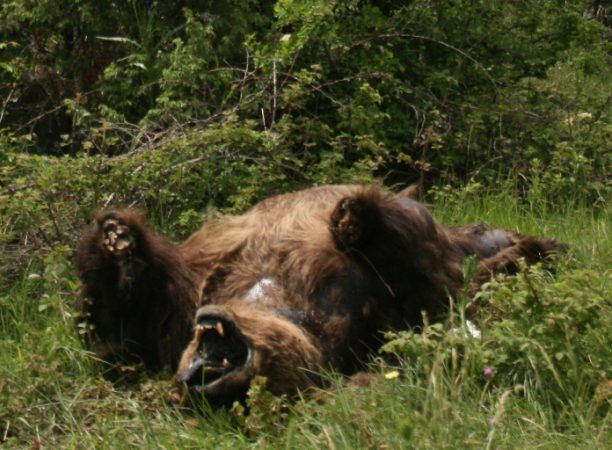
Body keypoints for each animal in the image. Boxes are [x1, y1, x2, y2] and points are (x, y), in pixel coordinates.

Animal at [75, 183, 560, 404]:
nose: (198, 382)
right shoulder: (178, 310)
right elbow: (115, 321)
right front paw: (116, 241)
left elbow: (400, 244)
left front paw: (352, 217)